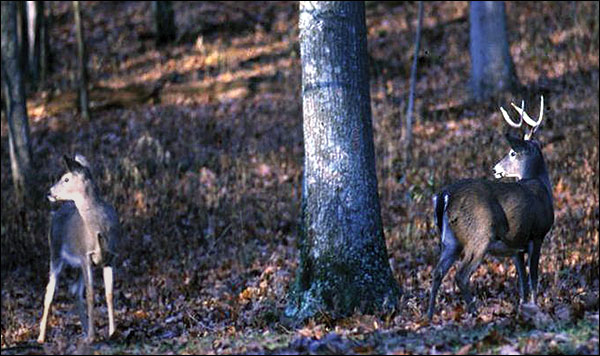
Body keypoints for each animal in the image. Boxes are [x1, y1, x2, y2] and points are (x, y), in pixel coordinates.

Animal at [38, 155, 119, 342]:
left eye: (66, 179)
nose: (49, 192)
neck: (99, 226)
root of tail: (55, 214)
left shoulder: (110, 257)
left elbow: (109, 294)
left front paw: (112, 332)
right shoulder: (84, 255)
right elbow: (91, 294)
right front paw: (92, 336)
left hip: (77, 264)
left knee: (74, 291)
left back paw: (84, 329)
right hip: (55, 253)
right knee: (49, 292)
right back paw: (41, 337)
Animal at [426, 96, 552, 320]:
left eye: (512, 153)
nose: (495, 169)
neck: (542, 184)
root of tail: (444, 196)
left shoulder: (516, 246)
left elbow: (522, 282)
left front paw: (524, 308)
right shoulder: (537, 234)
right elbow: (534, 279)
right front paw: (536, 308)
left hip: (449, 240)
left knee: (437, 272)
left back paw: (429, 317)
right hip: (479, 234)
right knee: (461, 275)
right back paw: (475, 313)